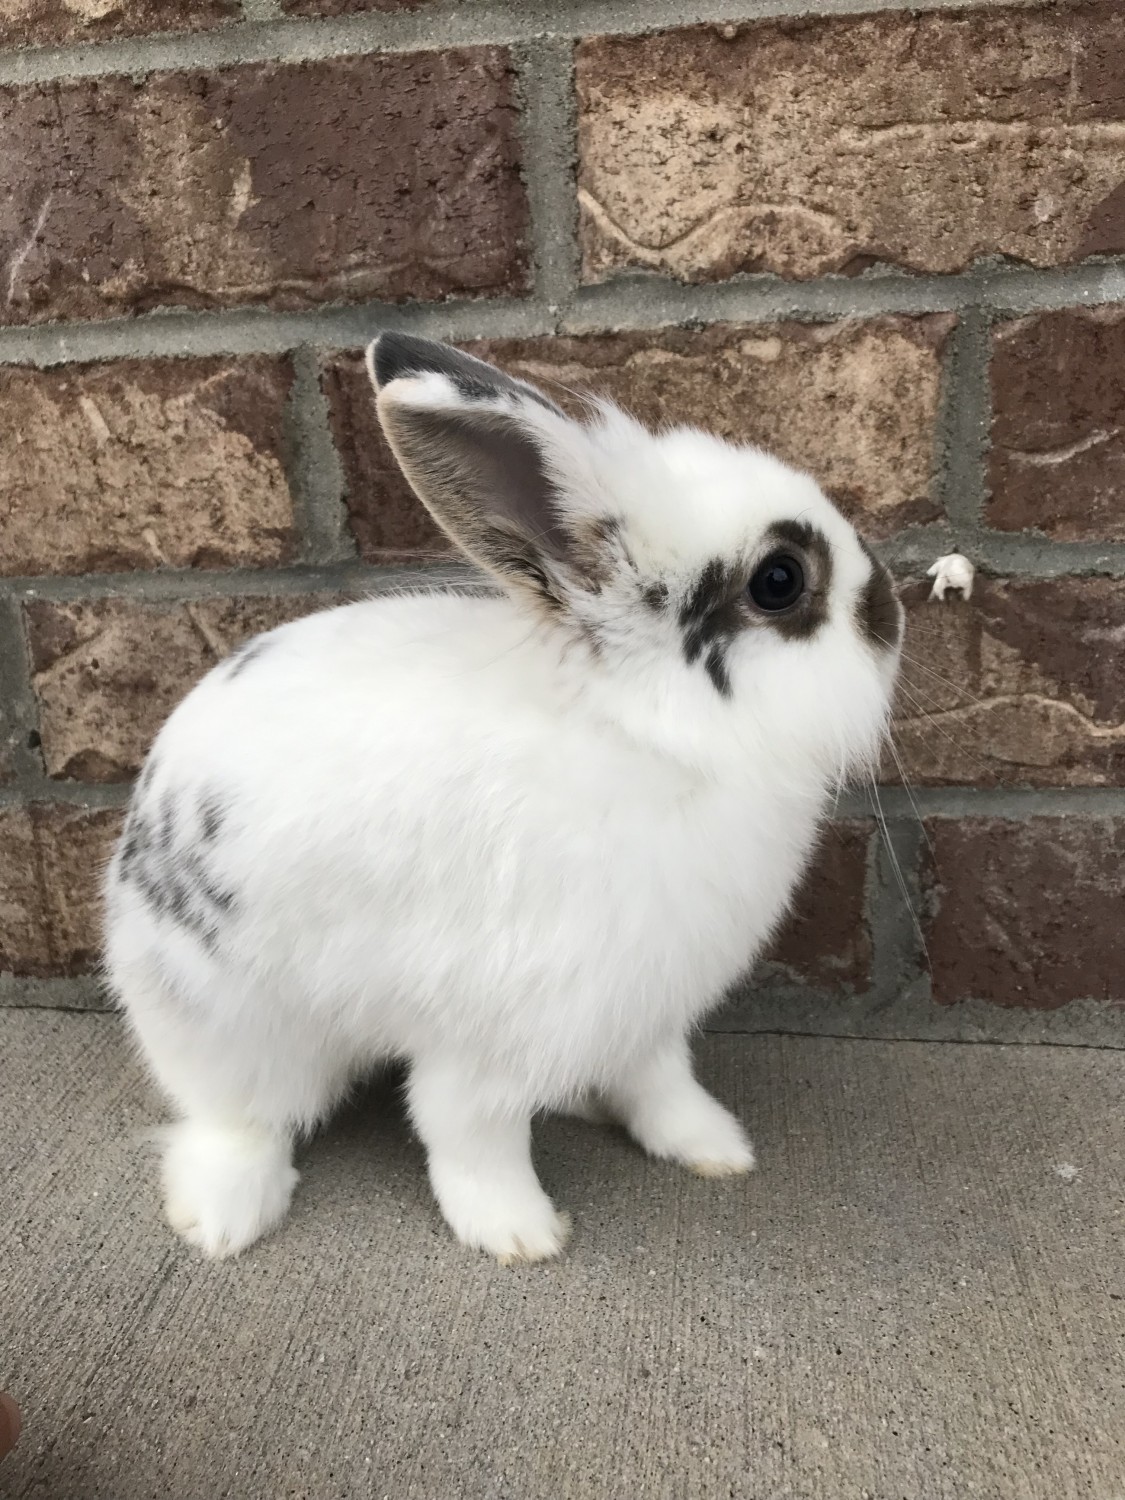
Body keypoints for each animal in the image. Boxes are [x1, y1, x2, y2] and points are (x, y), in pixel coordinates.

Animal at [103, 331, 903, 1264]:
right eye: (780, 580)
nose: (890, 609)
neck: (649, 736)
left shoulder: (646, 1009)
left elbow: (661, 1085)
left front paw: (713, 1148)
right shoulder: (494, 1033)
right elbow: (470, 1135)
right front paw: (518, 1233)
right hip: (221, 1022)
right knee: (237, 1119)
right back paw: (223, 1218)